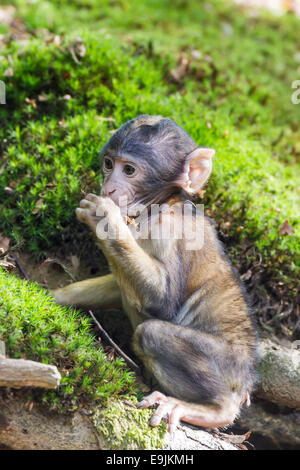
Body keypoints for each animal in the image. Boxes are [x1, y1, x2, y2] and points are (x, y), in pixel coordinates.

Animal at [51, 115, 255, 436]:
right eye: (108, 164)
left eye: (129, 170)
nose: (109, 188)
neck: (161, 205)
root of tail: (245, 380)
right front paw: (49, 296)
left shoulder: (168, 230)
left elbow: (161, 301)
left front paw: (104, 219)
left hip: (227, 363)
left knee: (151, 333)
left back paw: (216, 409)